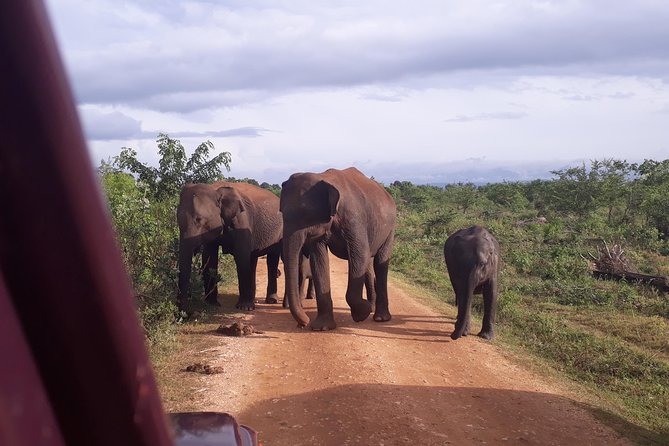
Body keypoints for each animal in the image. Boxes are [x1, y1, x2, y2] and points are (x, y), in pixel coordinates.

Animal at [177, 181, 282, 311]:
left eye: (199, 219)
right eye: (177, 219)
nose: (185, 311)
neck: (215, 189)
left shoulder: (241, 220)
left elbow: (241, 257)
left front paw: (244, 308)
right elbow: (209, 258)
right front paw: (211, 304)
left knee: (272, 259)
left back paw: (270, 301)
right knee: (253, 257)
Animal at [280, 167, 396, 331]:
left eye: (305, 214)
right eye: (282, 213)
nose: (303, 323)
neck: (323, 178)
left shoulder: (354, 218)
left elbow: (359, 253)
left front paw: (362, 313)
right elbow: (319, 260)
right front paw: (322, 327)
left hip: (390, 228)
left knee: (380, 261)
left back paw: (380, 317)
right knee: (368, 264)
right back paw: (373, 308)